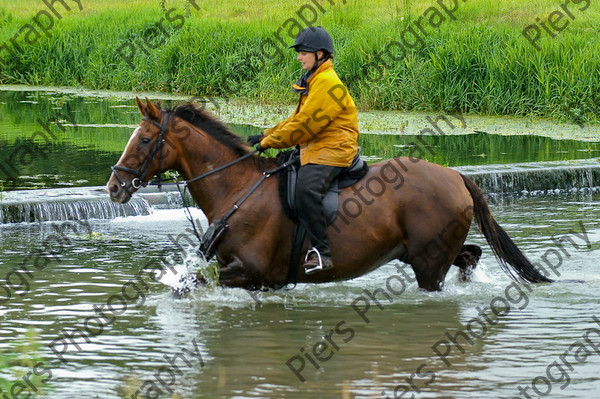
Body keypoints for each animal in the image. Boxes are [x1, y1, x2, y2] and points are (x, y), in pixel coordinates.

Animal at [105, 98, 552, 292]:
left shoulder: (251, 271)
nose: (114, 187)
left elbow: (190, 282)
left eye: (144, 139)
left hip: (427, 262)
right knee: (470, 254)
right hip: (424, 251)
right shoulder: (259, 282)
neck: (237, 187)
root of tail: (457, 176)